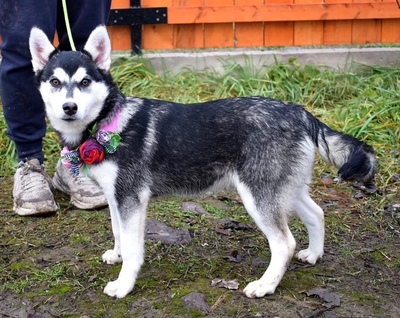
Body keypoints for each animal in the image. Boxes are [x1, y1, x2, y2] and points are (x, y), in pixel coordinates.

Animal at [28, 24, 376, 298]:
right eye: (55, 82)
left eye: (85, 82)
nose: (69, 107)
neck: (109, 122)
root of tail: (297, 111)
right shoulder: (117, 198)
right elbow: (118, 233)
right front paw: (117, 254)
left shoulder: (132, 200)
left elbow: (134, 249)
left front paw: (124, 284)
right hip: (284, 190)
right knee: (317, 213)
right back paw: (314, 255)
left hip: (258, 196)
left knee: (284, 243)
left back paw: (265, 286)